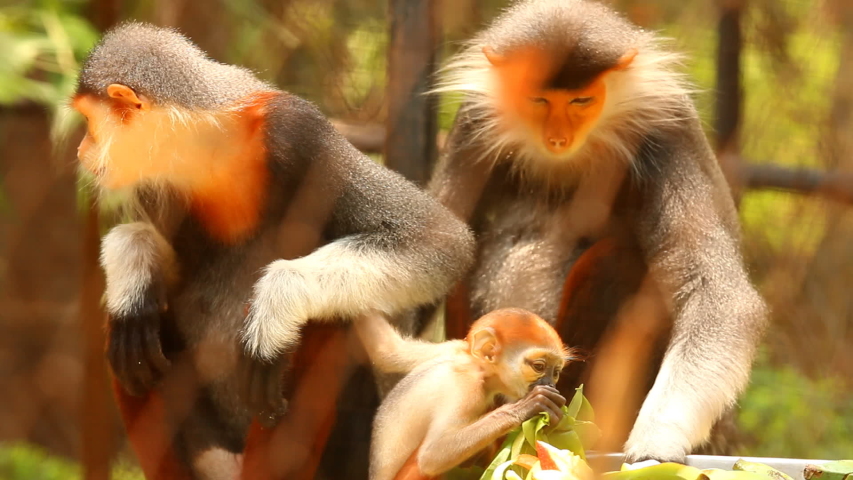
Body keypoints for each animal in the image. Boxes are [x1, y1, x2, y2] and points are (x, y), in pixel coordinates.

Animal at [71, 22, 474, 478]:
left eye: (88, 122)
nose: (81, 150)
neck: (211, 152)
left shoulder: (299, 131)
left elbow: (439, 240)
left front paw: (278, 300)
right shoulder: (157, 183)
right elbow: (154, 255)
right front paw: (133, 267)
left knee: (328, 321)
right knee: (129, 333)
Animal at [351, 308, 572, 480]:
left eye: (556, 372)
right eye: (539, 367)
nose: (550, 384)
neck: (476, 366)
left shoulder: (454, 347)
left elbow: (388, 352)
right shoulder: (466, 388)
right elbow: (431, 456)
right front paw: (526, 407)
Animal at [427, 0, 768, 464]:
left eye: (582, 100)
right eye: (538, 100)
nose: (558, 138)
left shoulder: (668, 128)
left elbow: (714, 290)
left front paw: (657, 441)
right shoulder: (471, 125)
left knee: (618, 261)